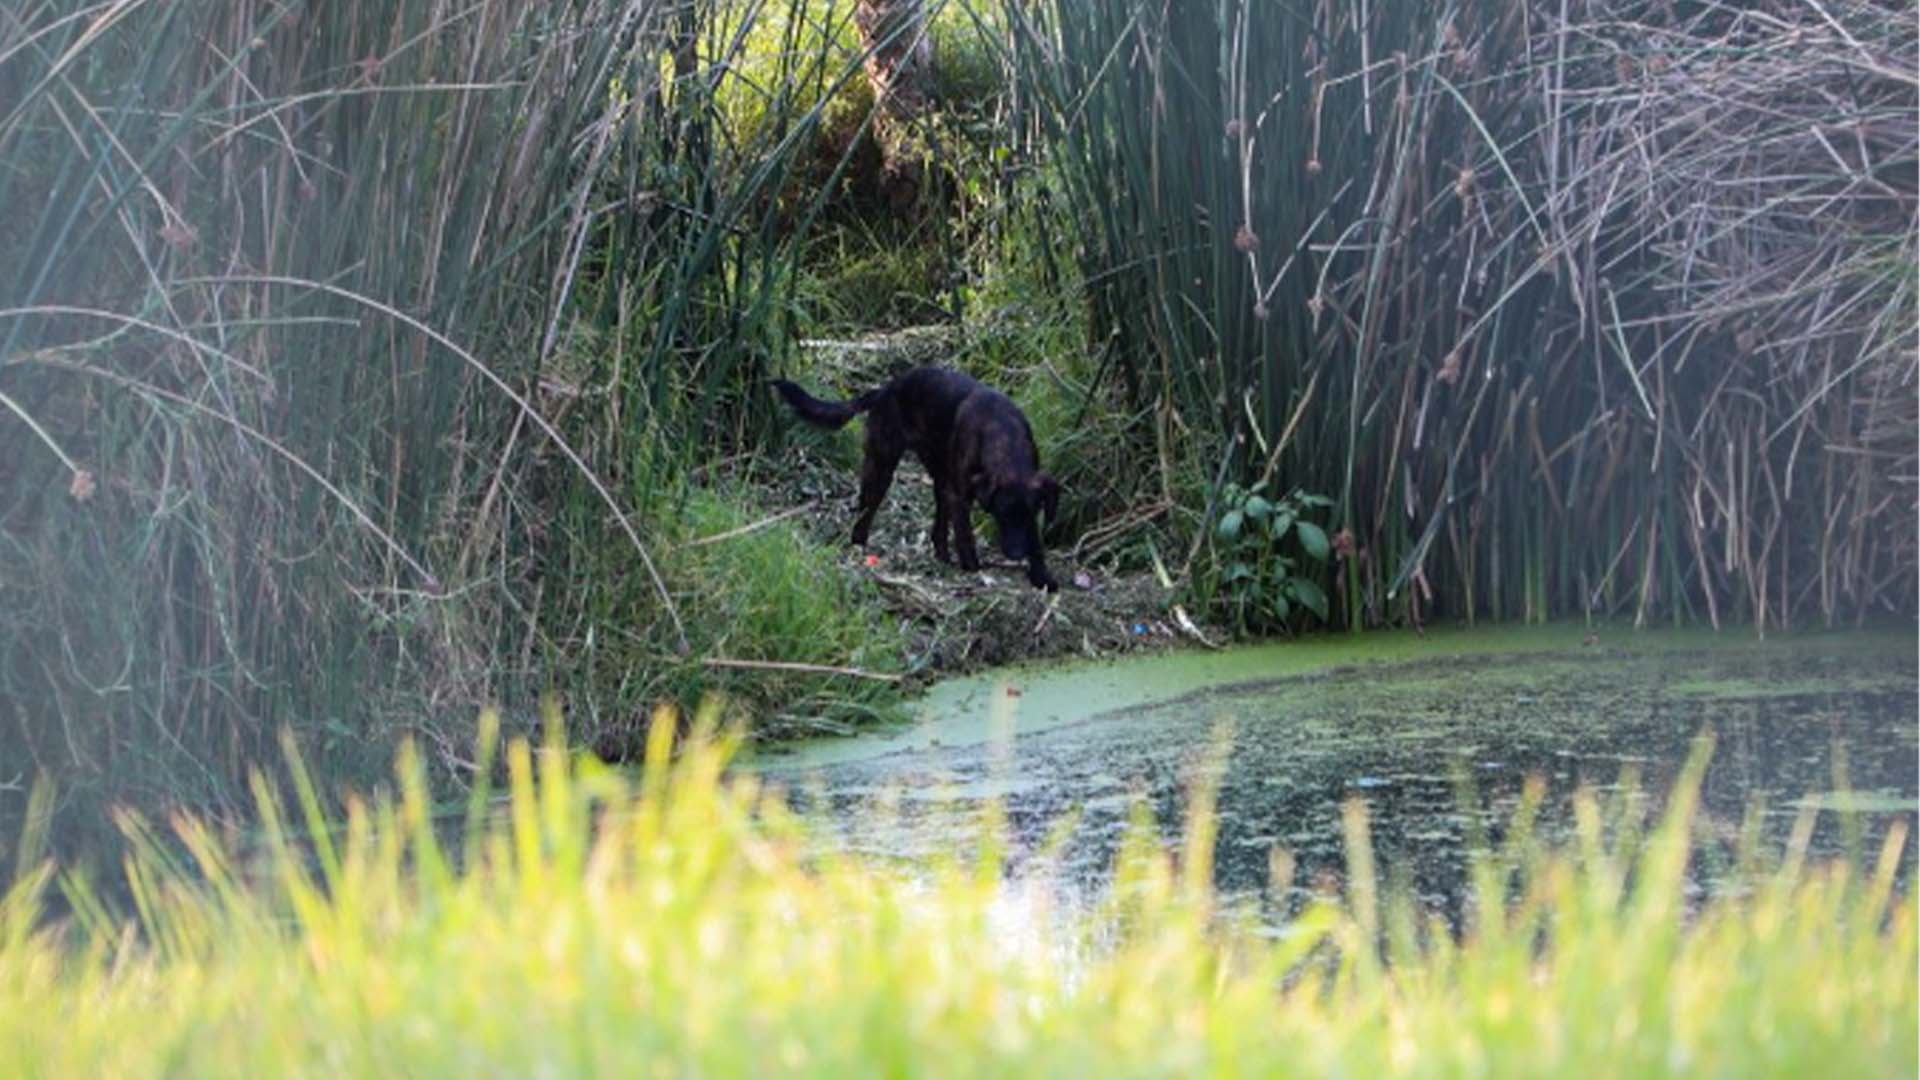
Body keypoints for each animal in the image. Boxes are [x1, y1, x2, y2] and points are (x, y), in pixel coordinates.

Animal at [768, 367, 1067, 588]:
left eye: (1032, 513)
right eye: (1001, 514)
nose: (1016, 554)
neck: (1003, 436)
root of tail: (884, 390)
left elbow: (1035, 539)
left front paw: (1041, 575)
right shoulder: (961, 495)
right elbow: (966, 537)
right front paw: (973, 568)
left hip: (937, 476)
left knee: (938, 527)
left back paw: (941, 555)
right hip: (881, 467)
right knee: (864, 513)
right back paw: (860, 547)